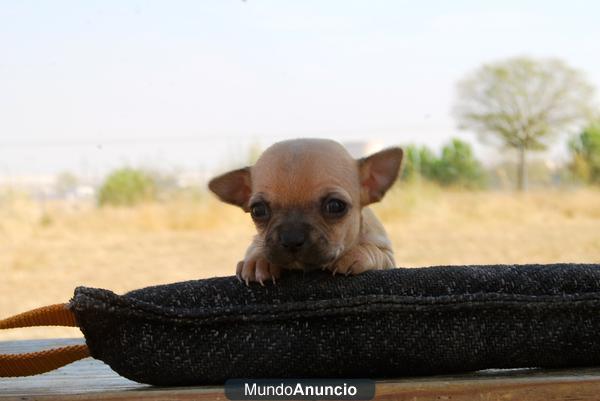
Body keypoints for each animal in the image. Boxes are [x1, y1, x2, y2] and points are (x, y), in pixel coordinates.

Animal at [207, 139, 404, 282]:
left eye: (335, 206)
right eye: (258, 210)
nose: (291, 239)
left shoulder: (388, 257)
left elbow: (373, 250)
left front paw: (354, 254)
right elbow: (257, 245)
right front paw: (258, 262)